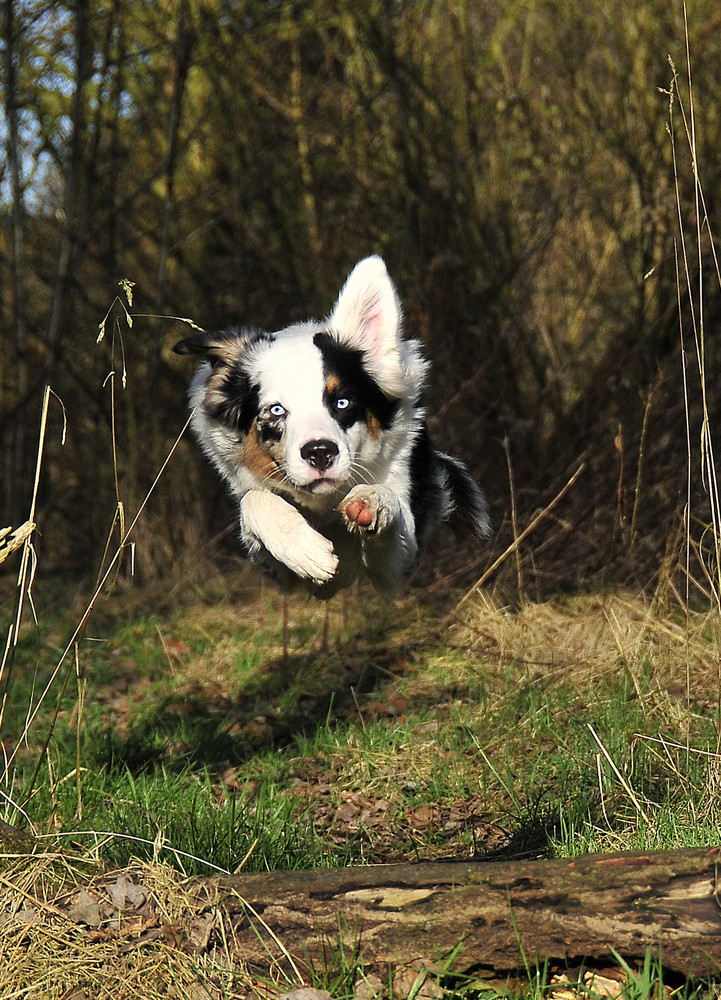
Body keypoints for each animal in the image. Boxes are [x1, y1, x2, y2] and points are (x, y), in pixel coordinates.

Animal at [174, 260, 490, 600]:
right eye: (276, 410)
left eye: (342, 402)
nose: (320, 453)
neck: (325, 503)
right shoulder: (279, 571)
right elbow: (254, 500)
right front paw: (306, 549)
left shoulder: (398, 566)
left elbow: (389, 504)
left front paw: (371, 501)